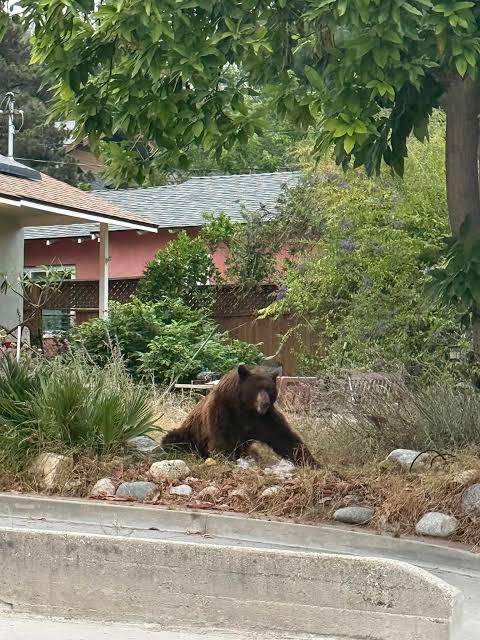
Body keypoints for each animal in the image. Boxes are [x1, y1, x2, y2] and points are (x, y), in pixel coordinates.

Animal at [162, 364, 319, 467]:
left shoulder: (264, 419)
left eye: (270, 389)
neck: (245, 408)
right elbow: (222, 438)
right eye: (256, 389)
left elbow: (284, 437)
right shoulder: (223, 410)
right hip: (191, 434)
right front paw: (227, 459)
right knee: (172, 439)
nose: (265, 403)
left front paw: (312, 462)